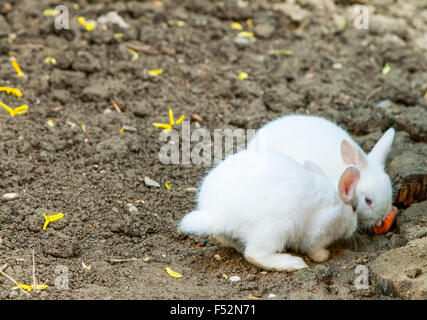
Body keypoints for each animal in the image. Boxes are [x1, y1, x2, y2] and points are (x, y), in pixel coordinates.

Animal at [180, 146, 362, 272]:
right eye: (354, 208)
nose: (353, 229)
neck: (335, 202)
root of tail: (217, 214)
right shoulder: (319, 229)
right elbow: (313, 247)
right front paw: (323, 256)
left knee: (221, 238)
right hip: (277, 227)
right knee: (254, 254)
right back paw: (293, 263)